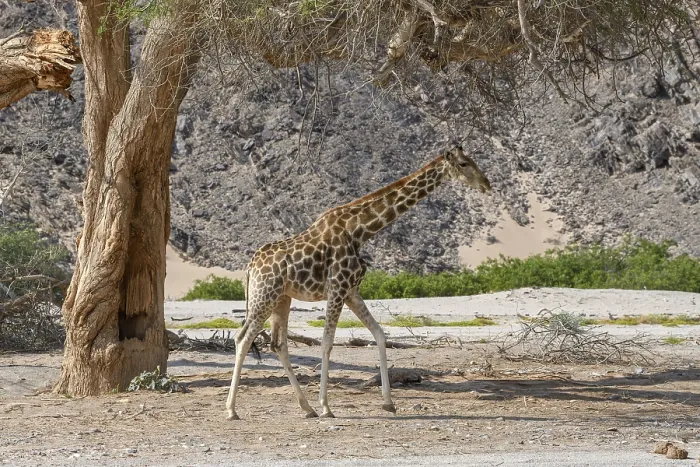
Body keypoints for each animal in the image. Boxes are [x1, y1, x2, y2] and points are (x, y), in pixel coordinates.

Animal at [226, 145, 491, 420]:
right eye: (463, 163)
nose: (486, 183)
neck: (360, 231)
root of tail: (250, 268)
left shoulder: (352, 291)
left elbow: (380, 334)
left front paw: (388, 403)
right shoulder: (338, 288)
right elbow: (327, 343)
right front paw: (326, 406)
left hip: (282, 299)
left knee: (278, 344)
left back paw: (306, 408)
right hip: (264, 297)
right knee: (243, 338)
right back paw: (232, 410)